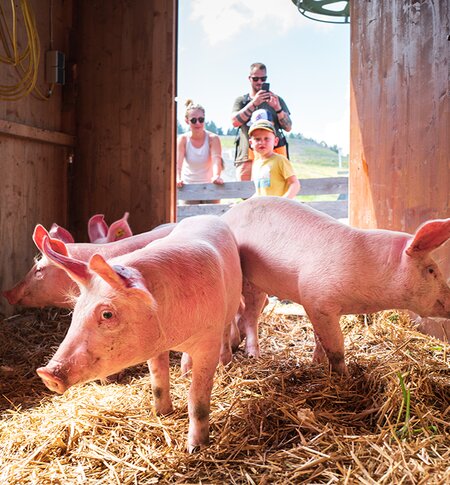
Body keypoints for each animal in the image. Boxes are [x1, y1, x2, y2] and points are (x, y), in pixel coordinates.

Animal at [34, 216, 243, 450]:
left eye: (107, 314)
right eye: (76, 309)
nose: (46, 373)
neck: (173, 335)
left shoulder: (208, 341)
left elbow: (197, 397)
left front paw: (195, 448)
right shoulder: (155, 346)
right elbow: (158, 381)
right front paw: (161, 414)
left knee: (227, 328)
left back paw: (225, 361)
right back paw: (185, 371)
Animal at [221, 196, 450, 374]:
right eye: (432, 270)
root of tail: (228, 214)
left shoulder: (322, 307)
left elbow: (319, 338)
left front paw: (316, 364)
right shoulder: (317, 300)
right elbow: (336, 346)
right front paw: (344, 377)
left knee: (247, 312)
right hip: (247, 279)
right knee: (250, 316)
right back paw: (253, 355)